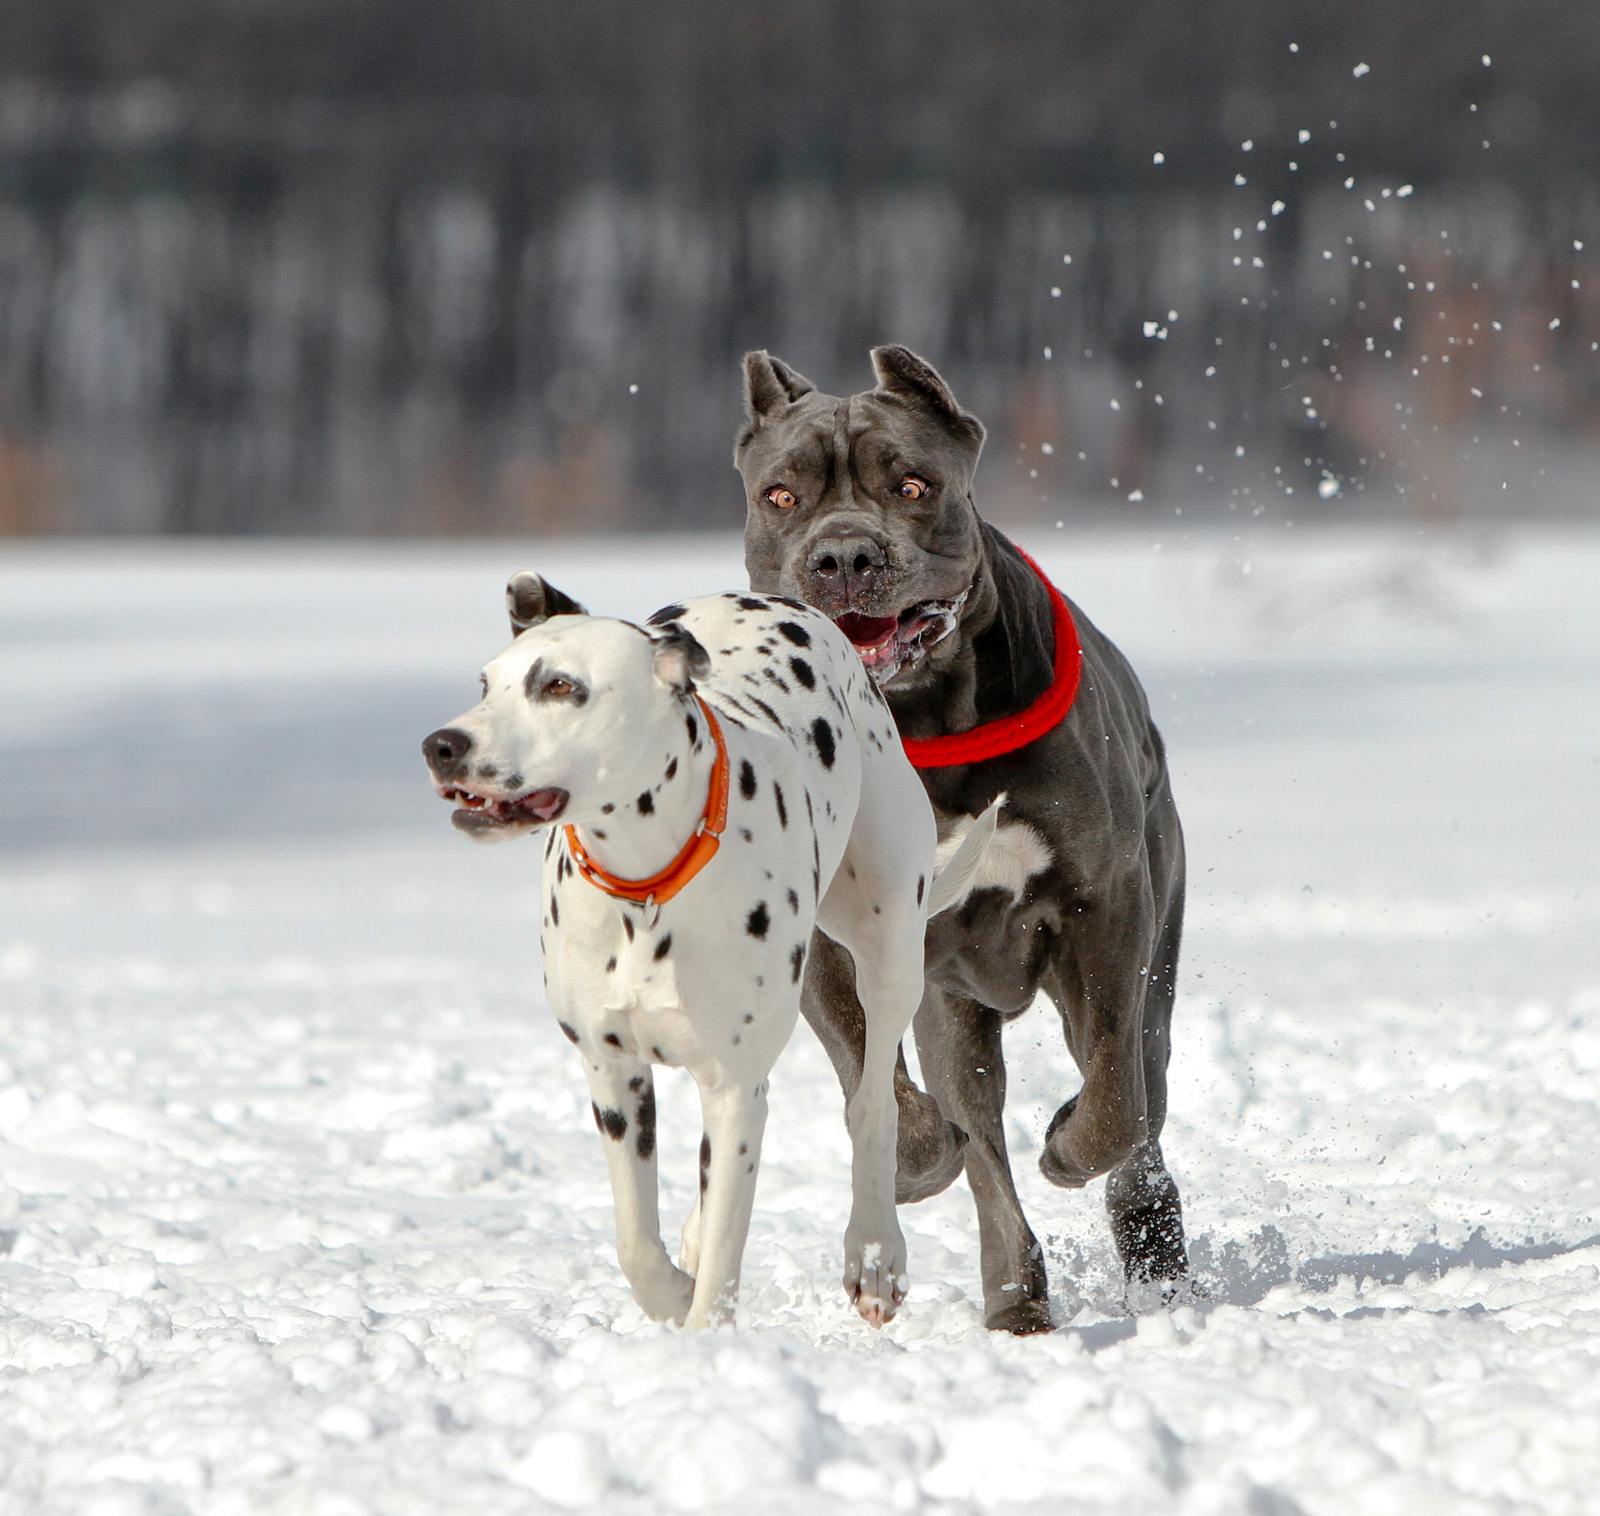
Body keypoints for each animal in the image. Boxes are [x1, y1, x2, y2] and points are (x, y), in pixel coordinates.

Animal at [425, 572, 998, 1324]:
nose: (443, 744)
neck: (647, 887)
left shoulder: (735, 1093)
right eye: (487, 683)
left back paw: (875, 1257)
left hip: (889, 949)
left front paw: (706, 1338)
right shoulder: (614, 1076)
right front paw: (672, 1292)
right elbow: (637, 1243)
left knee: (873, 1106)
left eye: (560, 686)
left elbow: (727, 1248)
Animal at [736, 343, 1190, 1324]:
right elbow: (875, 1076)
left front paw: (1068, 1145)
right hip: (955, 1007)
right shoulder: (833, 944)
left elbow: (1113, 1091)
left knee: (1144, 1092)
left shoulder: (1106, 907)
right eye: (781, 495)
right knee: (983, 1148)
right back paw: (1014, 1300)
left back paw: (1150, 1245)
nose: (844, 556)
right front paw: (914, 1163)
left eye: (912, 483)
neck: (922, 721)